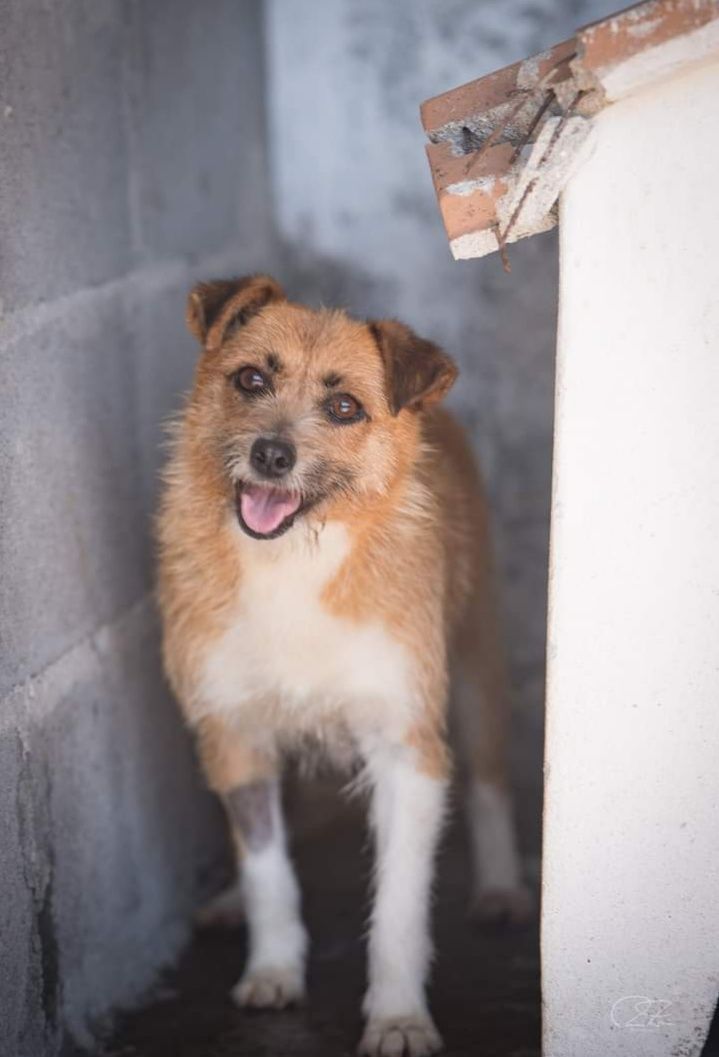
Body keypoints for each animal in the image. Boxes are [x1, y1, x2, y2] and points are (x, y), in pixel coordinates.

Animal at [155, 274, 528, 1057]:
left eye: (345, 407)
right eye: (250, 379)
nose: (271, 455)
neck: (294, 562)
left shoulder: (406, 748)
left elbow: (399, 906)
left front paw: (398, 1016)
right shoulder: (233, 730)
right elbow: (265, 865)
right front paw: (272, 969)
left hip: (476, 668)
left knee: (488, 780)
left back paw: (502, 888)